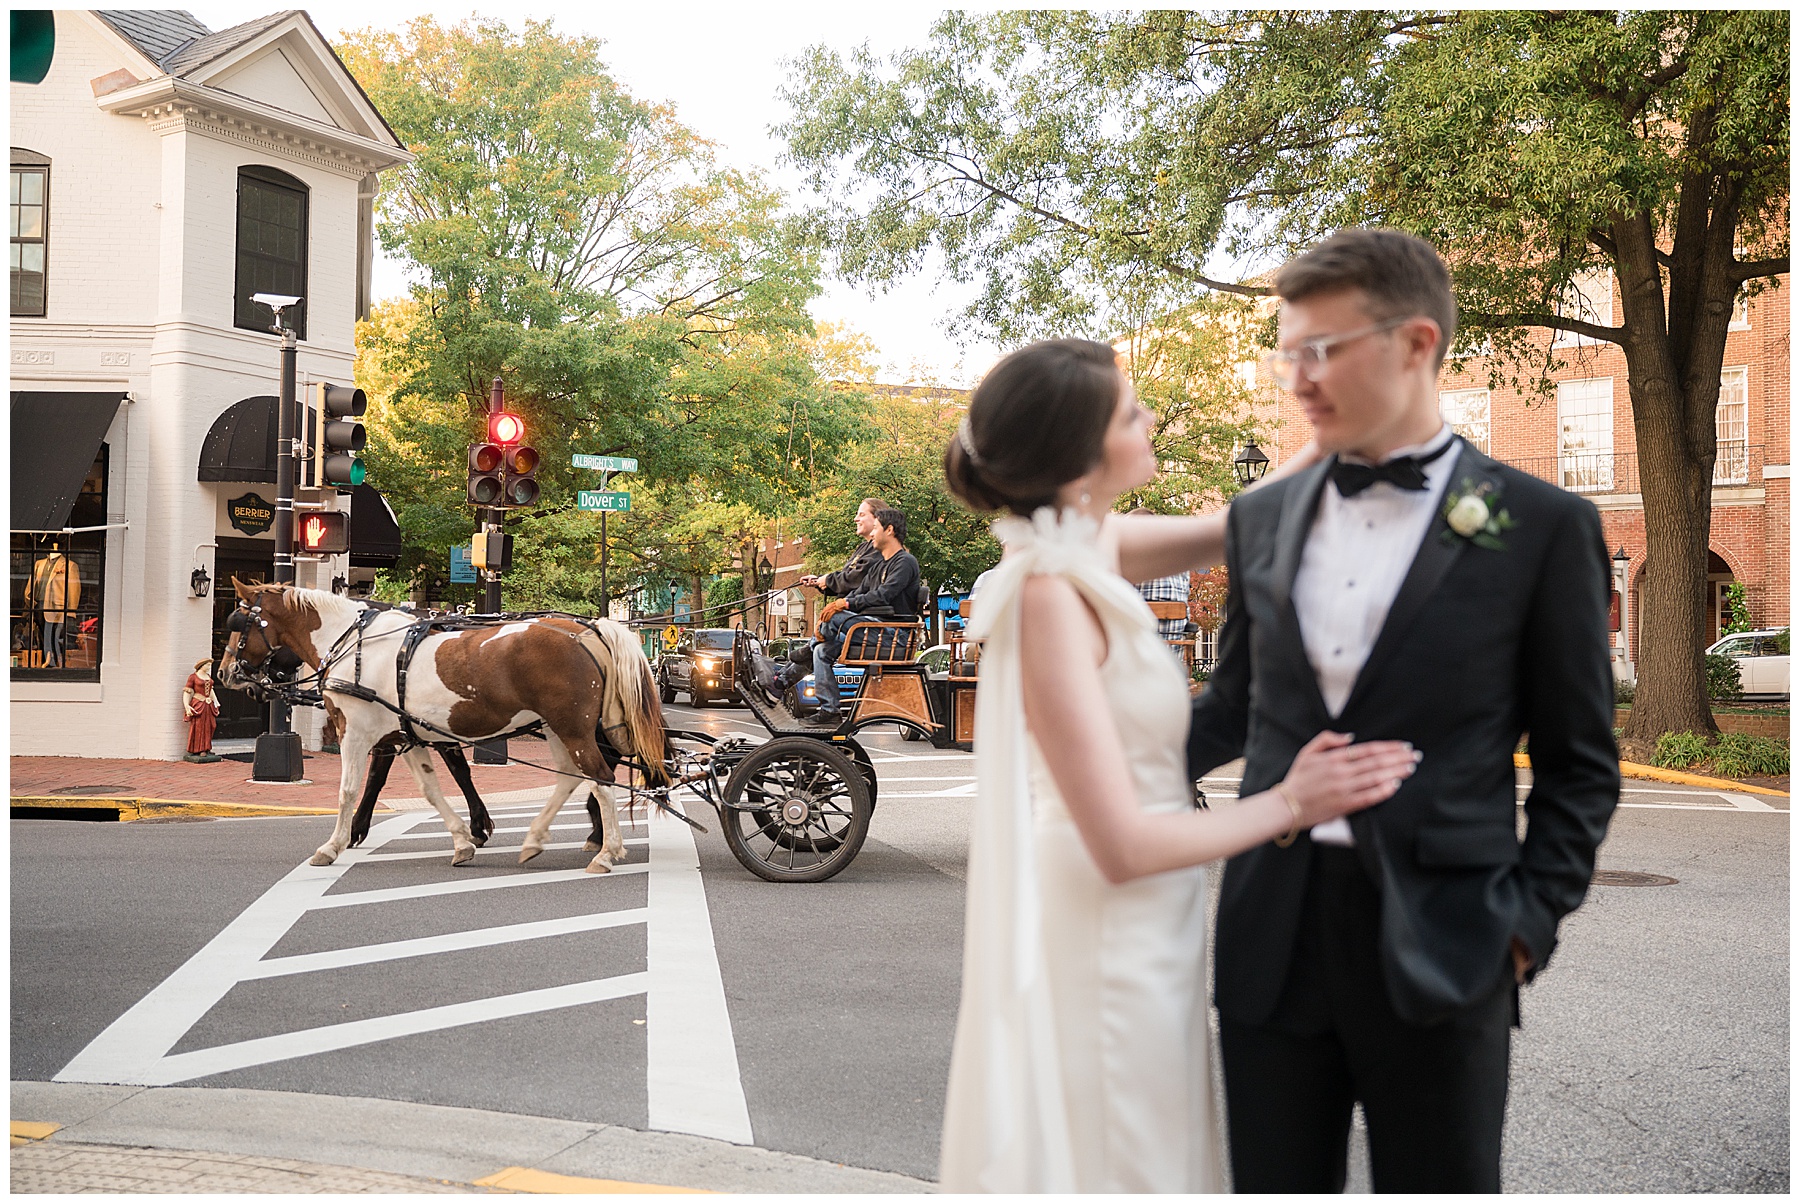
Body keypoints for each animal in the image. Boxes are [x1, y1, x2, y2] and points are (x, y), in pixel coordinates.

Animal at [217, 575, 669, 867]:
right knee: (573, 778)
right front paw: (463, 840)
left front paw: (334, 845)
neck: (352, 642)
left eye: (238, 624)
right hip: (559, 729)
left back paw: (607, 851)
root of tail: (589, 631)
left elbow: (348, 790)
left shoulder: (357, 732)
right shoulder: (408, 734)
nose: (224, 674)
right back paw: (538, 839)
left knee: (601, 778)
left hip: (572, 728)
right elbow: (431, 789)